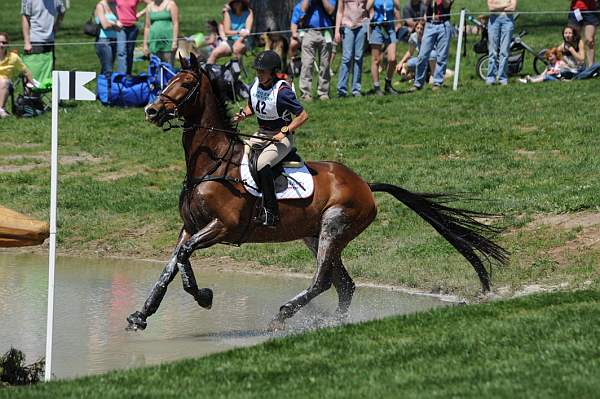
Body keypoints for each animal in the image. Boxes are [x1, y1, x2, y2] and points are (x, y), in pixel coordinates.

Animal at [126, 54, 506, 334]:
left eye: (186, 83)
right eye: (167, 79)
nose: (151, 110)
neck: (212, 162)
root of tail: (365, 184)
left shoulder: (222, 226)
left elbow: (182, 257)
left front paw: (202, 296)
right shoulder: (191, 227)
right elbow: (173, 263)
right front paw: (143, 315)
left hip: (334, 227)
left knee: (323, 281)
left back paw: (283, 315)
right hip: (315, 235)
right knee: (344, 284)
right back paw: (331, 323)